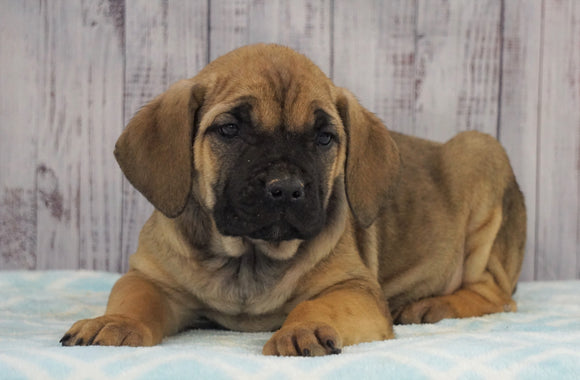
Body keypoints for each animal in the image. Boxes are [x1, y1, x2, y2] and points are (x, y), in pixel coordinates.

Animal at [62, 44, 524, 356]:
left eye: (324, 138)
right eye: (229, 130)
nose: (285, 187)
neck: (248, 259)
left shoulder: (353, 288)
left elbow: (318, 306)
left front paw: (303, 329)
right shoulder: (151, 279)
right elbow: (134, 299)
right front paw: (114, 322)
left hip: (481, 154)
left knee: (496, 293)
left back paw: (432, 304)